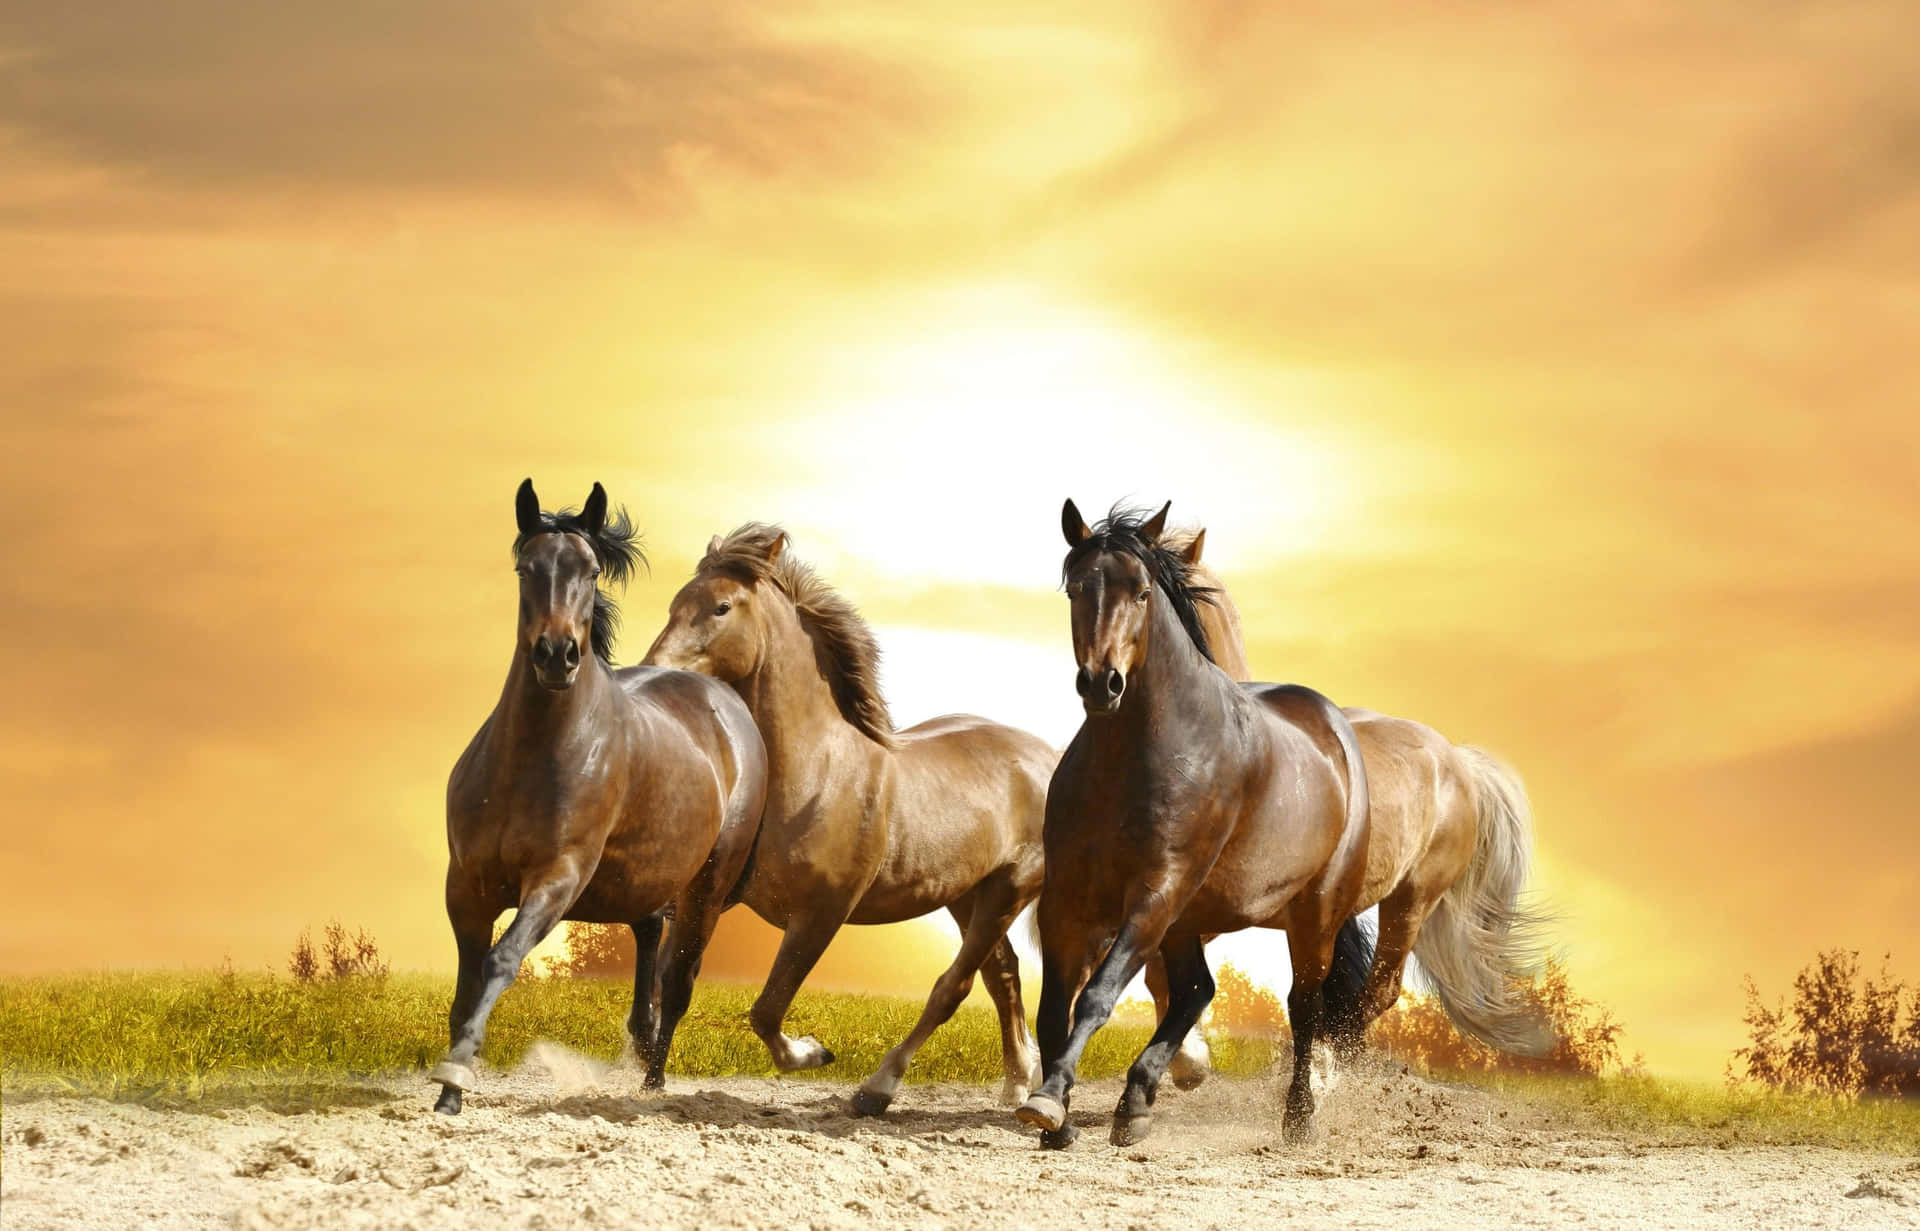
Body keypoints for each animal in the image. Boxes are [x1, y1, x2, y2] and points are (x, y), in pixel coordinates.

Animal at [429, 480, 769, 1115]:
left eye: (589, 571)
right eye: (526, 567)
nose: (557, 654)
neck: (531, 759)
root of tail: (725, 700)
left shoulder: (558, 877)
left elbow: (501, 960)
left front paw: (455, 1076)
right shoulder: (465, 885)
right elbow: (466, 985)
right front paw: (449, 1086)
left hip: (707, 886)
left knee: (678, 980)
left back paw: (653, 1083)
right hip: (643, 875)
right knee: (649, 936)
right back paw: (641, 1044)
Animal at [643, 525, 1052, 1115]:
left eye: (721, 607)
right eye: (676, 602)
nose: (656, 670)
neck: (814, 771)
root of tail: (1048, 757)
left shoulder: (822, 914)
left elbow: (766, 1010)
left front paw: (814, 1052)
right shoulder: (707, 895)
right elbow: (675, 984)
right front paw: (647, 1081)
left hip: (1008, 890)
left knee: (953, 987)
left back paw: (877, 1089)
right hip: (967, 895)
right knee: (1004, 976)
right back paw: (1019, 1080)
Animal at [1016, 500, 1374, 1149]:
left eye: (1141, 592)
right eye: (1076, 588)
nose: (1101, 683)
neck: (1134, 757)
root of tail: (1335, 729)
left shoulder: (1155, 890)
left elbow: (1097, 997)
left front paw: (1049, 1102)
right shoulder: (1068, 898)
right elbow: (1055, 1007)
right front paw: (1056, 1117)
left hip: (1312, 914)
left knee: (1302, 1005)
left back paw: (1298, 1119)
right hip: (1188, 917)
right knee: (1196, 990)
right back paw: (1136, 1103)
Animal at [1141, 525, 1552, 1091]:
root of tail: (1459, 761)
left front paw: (1191, 1064)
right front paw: (1186, 1061)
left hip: (1412, 899)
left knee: (1379, 992)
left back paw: (1325, 1073)